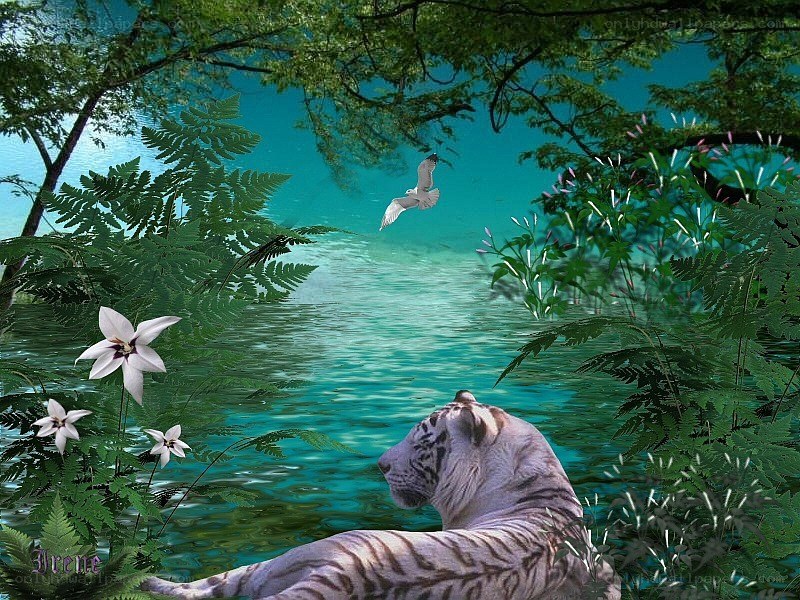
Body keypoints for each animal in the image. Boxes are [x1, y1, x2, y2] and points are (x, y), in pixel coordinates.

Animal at [142, 390, 620, 599]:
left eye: (421, 439)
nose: (381, 465)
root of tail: (346, 577)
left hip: (293, 558)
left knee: (206, 586)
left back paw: (145, 578)